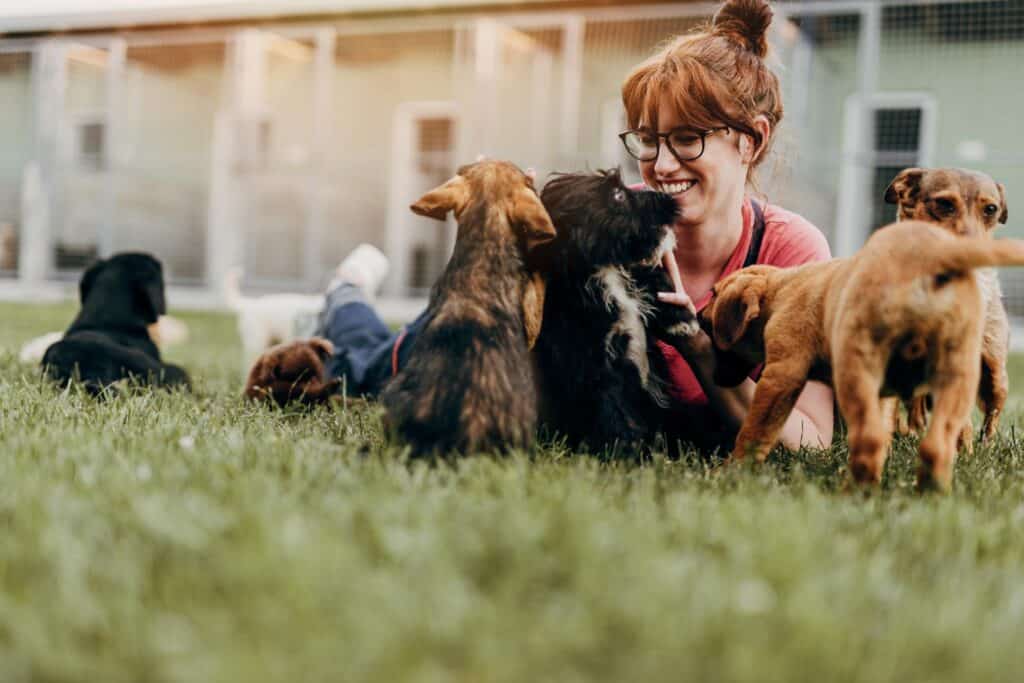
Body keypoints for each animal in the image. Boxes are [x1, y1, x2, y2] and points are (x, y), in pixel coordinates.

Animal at [536, 166, 696, 454]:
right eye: (618, 195)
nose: (668, 198)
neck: (605, 270)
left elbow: (652, 277)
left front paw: (681, 319)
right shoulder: (594, 363)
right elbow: (613, 408)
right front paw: (626, 451)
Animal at [700, 222, 1024, 493]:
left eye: (714, 293)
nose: (698, 314)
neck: (780, 291)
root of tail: (931, 255)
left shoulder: (782, 375)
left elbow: (755, 432)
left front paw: (732, 470)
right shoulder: (881, 394)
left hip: (855, 369)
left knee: (869, 441)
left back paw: (853, 495)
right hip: (956, 374)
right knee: (937, 446)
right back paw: (929, 495)